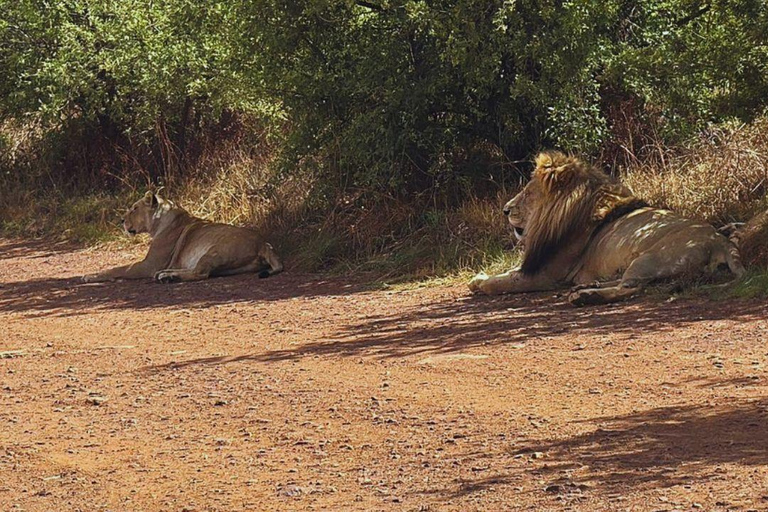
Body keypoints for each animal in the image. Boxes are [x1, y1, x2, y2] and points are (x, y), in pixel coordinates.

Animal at [82, 191, 283, 283]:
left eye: (134, 208)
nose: (121, 220)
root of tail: (263, 243)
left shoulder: (149, 264)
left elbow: (117, 269)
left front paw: (90, 276)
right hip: (228, 266)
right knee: (200, 271)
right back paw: (166, 274)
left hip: (214, 251)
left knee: (200, 273)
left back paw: (168, 277)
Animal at [468, 151, 744, 305]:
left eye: (527, 194)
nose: (505, 210)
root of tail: (721, 240)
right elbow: (508, 271)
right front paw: (480, 276)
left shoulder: (547, 274)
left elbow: (504, 282)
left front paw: (480, 282)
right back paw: (587, 288)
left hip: (648, 259)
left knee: (631, 289)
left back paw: (586, 297)